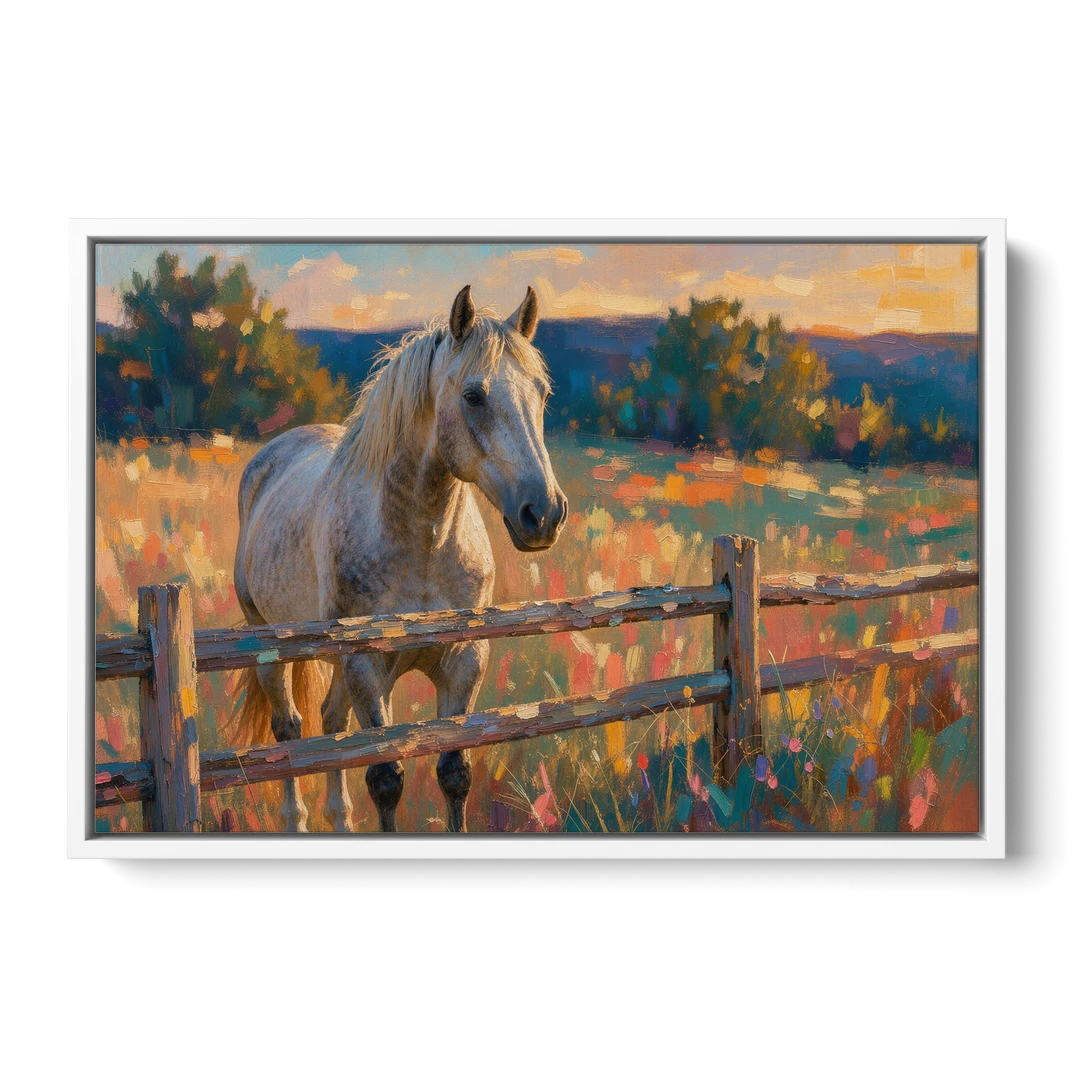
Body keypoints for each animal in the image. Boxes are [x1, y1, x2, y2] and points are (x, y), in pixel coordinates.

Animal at [230, 285, 568, 832]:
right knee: (289, 731)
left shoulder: (464, 662)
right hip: (270, 648)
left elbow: (453, 774)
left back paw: (339, 819)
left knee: (333, 726)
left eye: (542, 393)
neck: (423, 546)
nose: (544, 513)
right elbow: (385, 778)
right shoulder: (368, 668)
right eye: (473, 395)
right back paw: (295, 819)